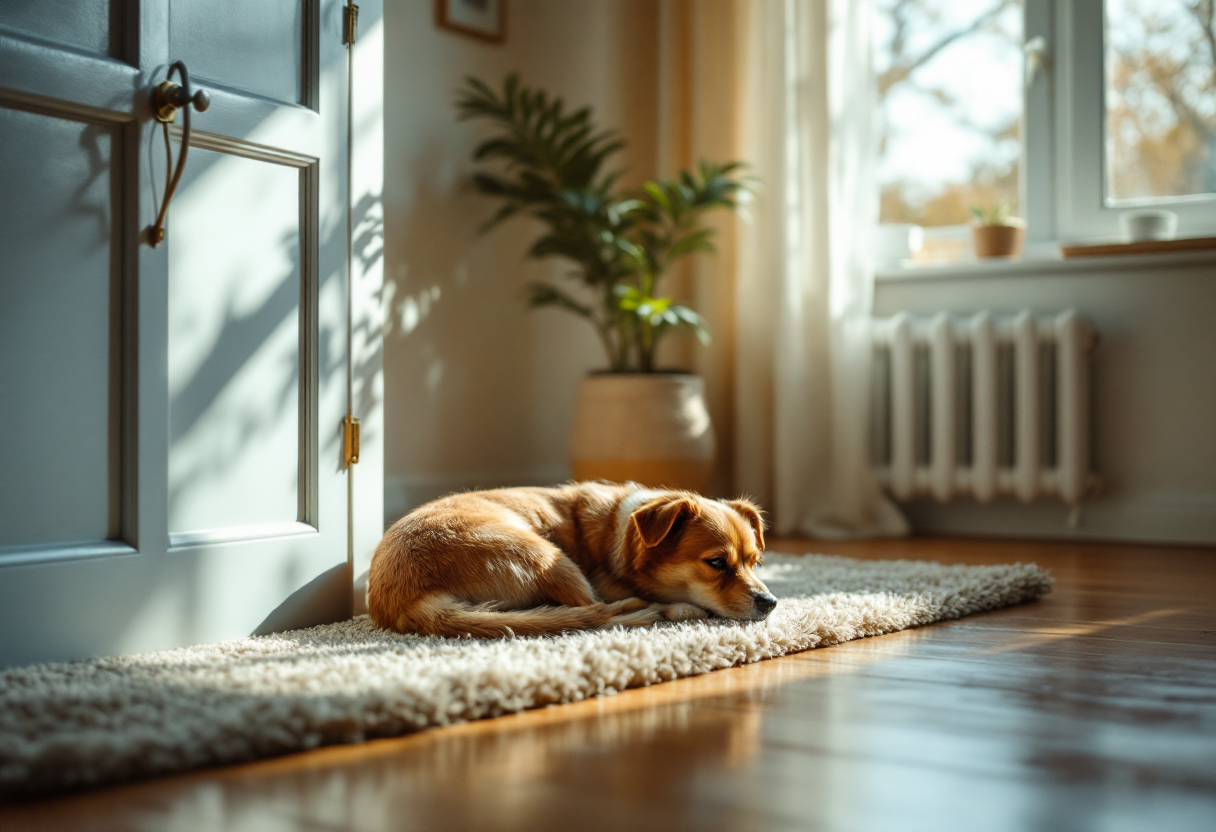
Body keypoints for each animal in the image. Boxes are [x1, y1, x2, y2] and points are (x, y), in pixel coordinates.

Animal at [364, 481, 778, 637]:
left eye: (754, 561)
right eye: (716, 563)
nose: (771, 603)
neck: (624, 531)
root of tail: (405, 600)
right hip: (547, 556)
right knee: (594, 612)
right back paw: (663, 611)